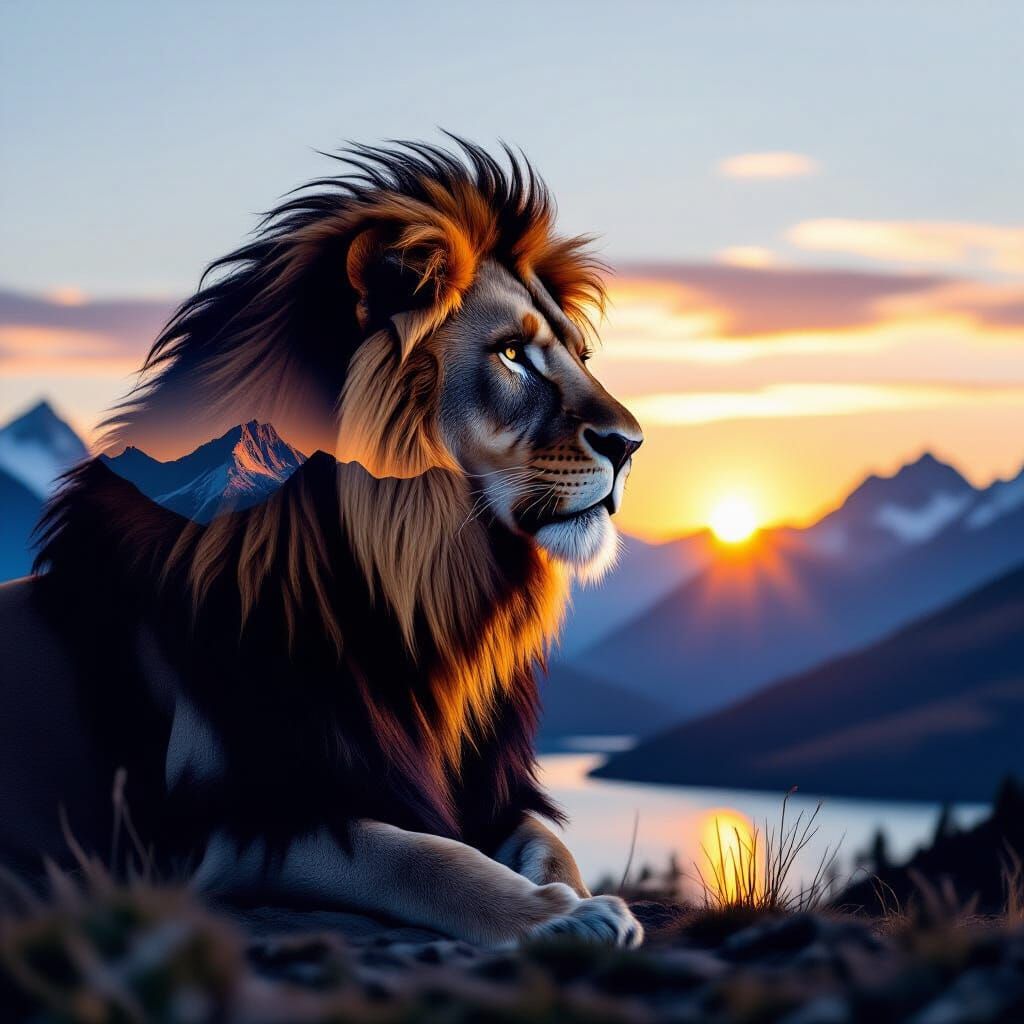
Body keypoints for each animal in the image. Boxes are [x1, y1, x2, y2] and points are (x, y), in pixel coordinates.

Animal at [0, 139, 644, 947]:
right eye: (510, 354)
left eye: (580, 357)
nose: (630, 444)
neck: (417, 600)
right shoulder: (221, 831)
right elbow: (417, 855)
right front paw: (559, 916)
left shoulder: (486, 788)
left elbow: (548, 841)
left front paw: (586, 900)